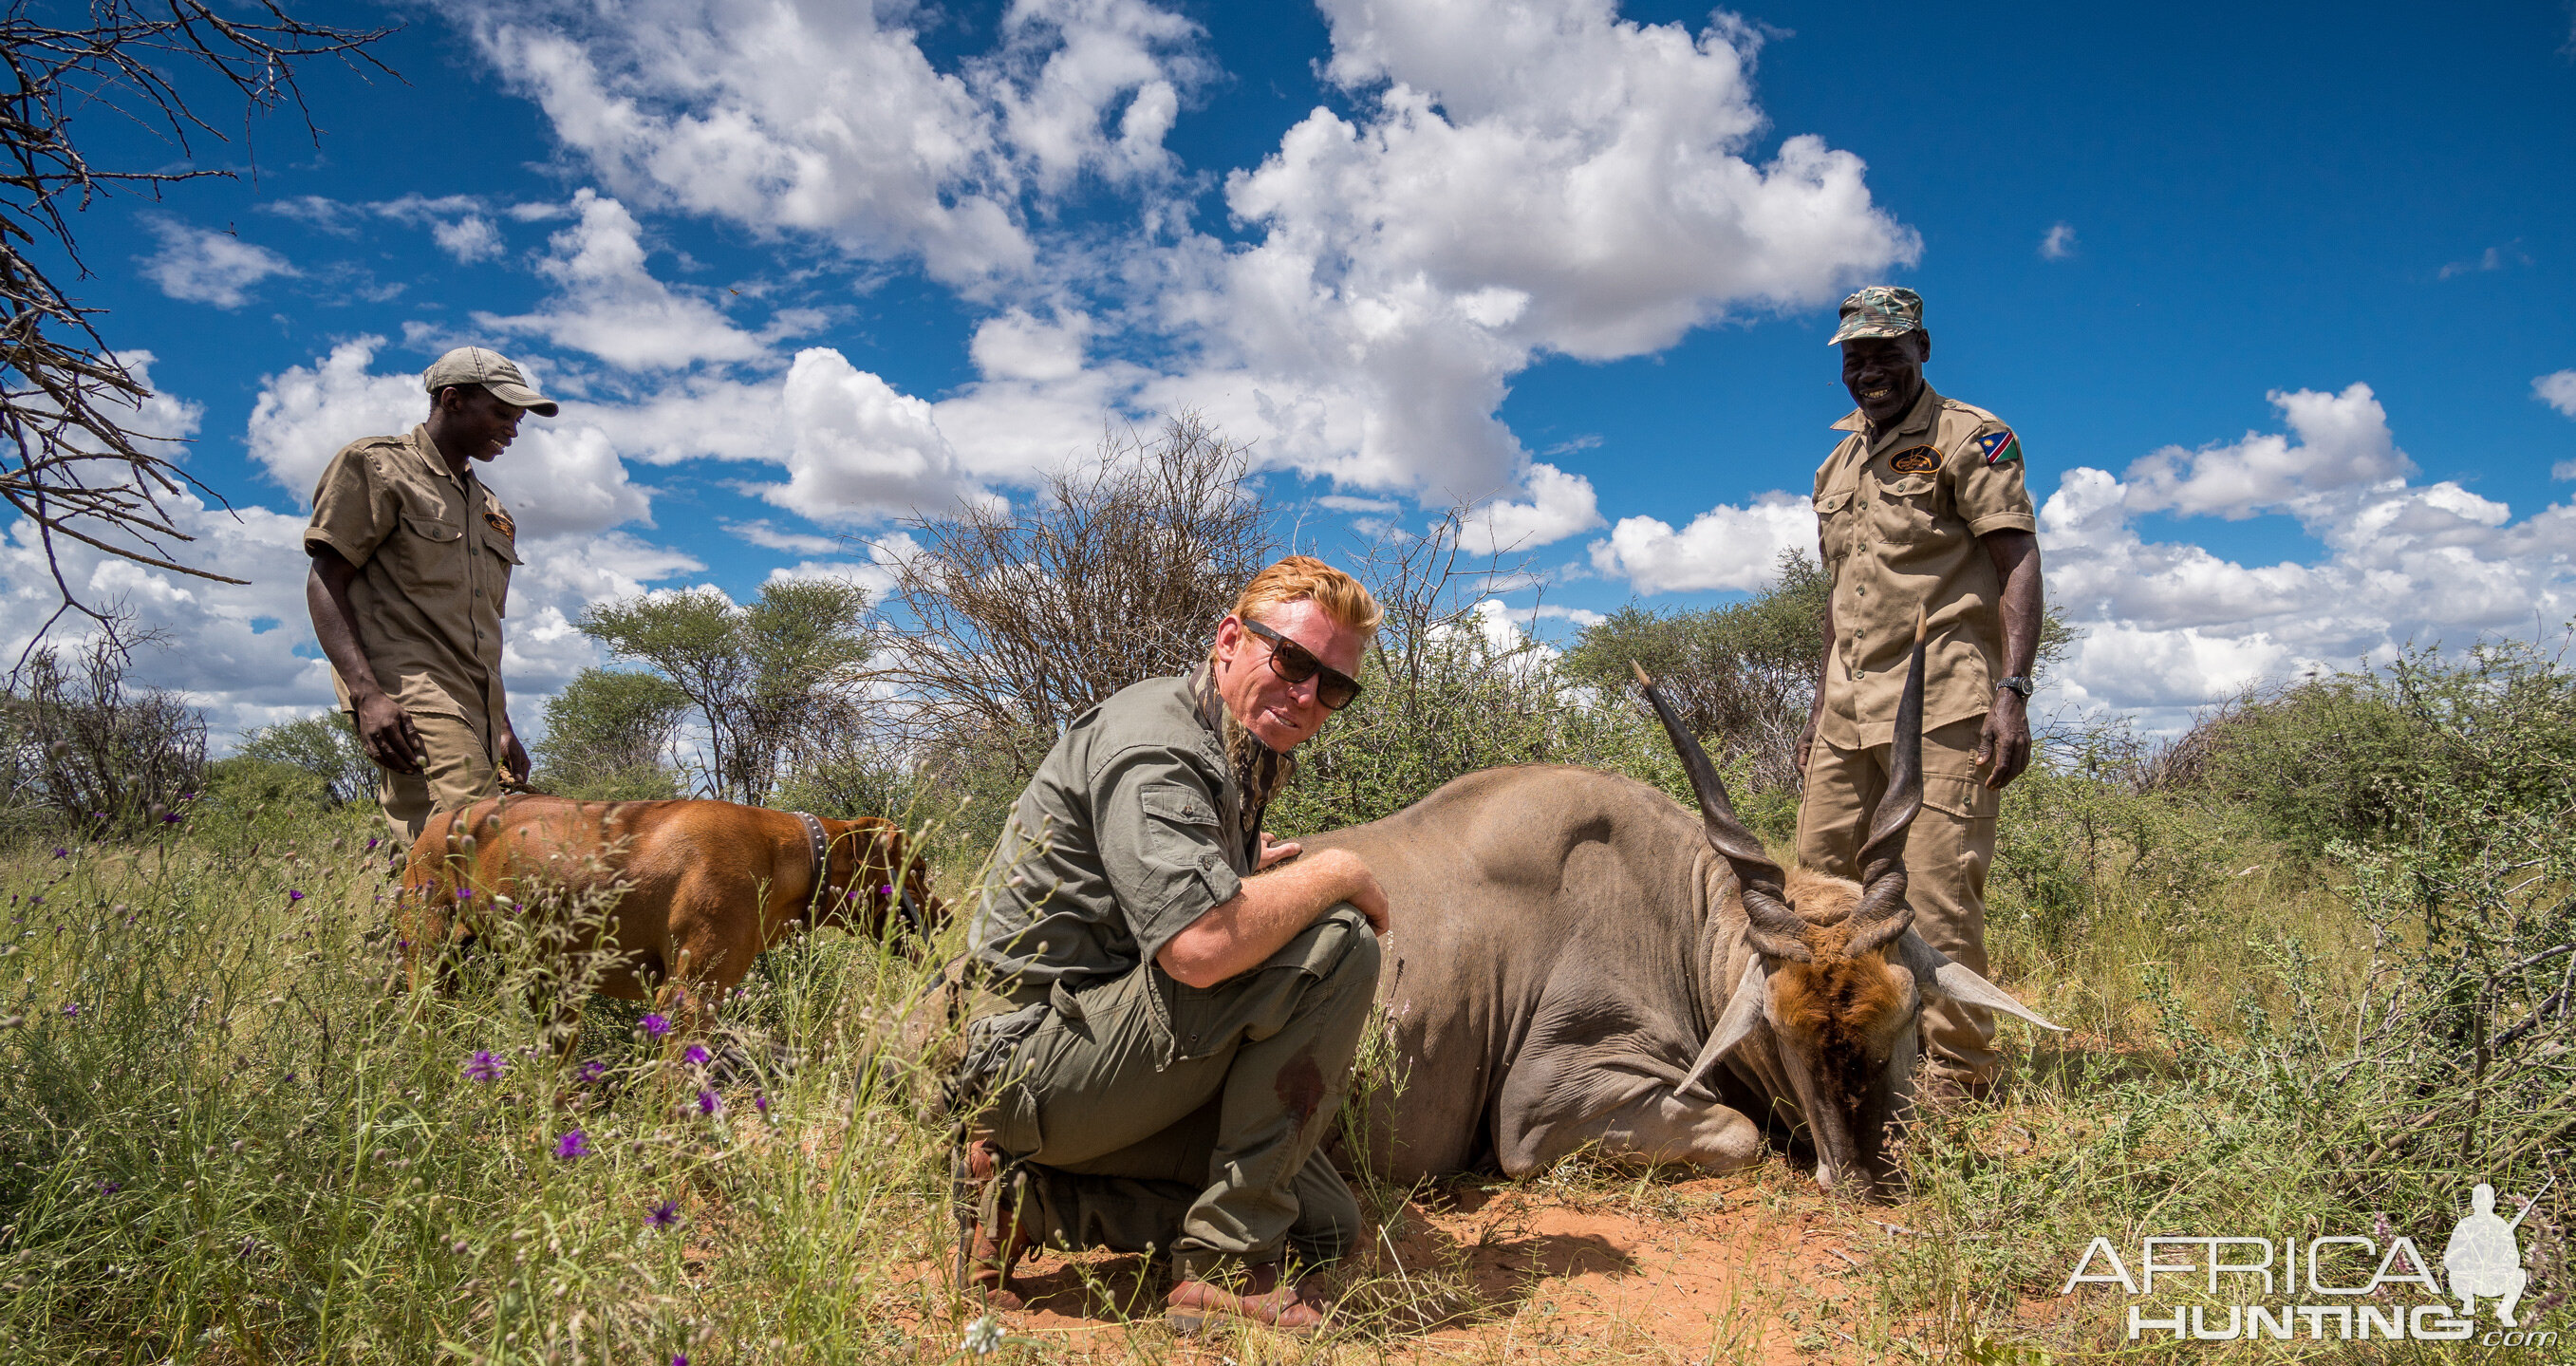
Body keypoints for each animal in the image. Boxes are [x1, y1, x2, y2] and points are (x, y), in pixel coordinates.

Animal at [406, 788, 953, 1031]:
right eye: (920, 869)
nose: (947, 917)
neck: (789, 855)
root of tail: (438, 820)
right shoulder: (689, 999)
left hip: (548, 987)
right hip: (428, 952)